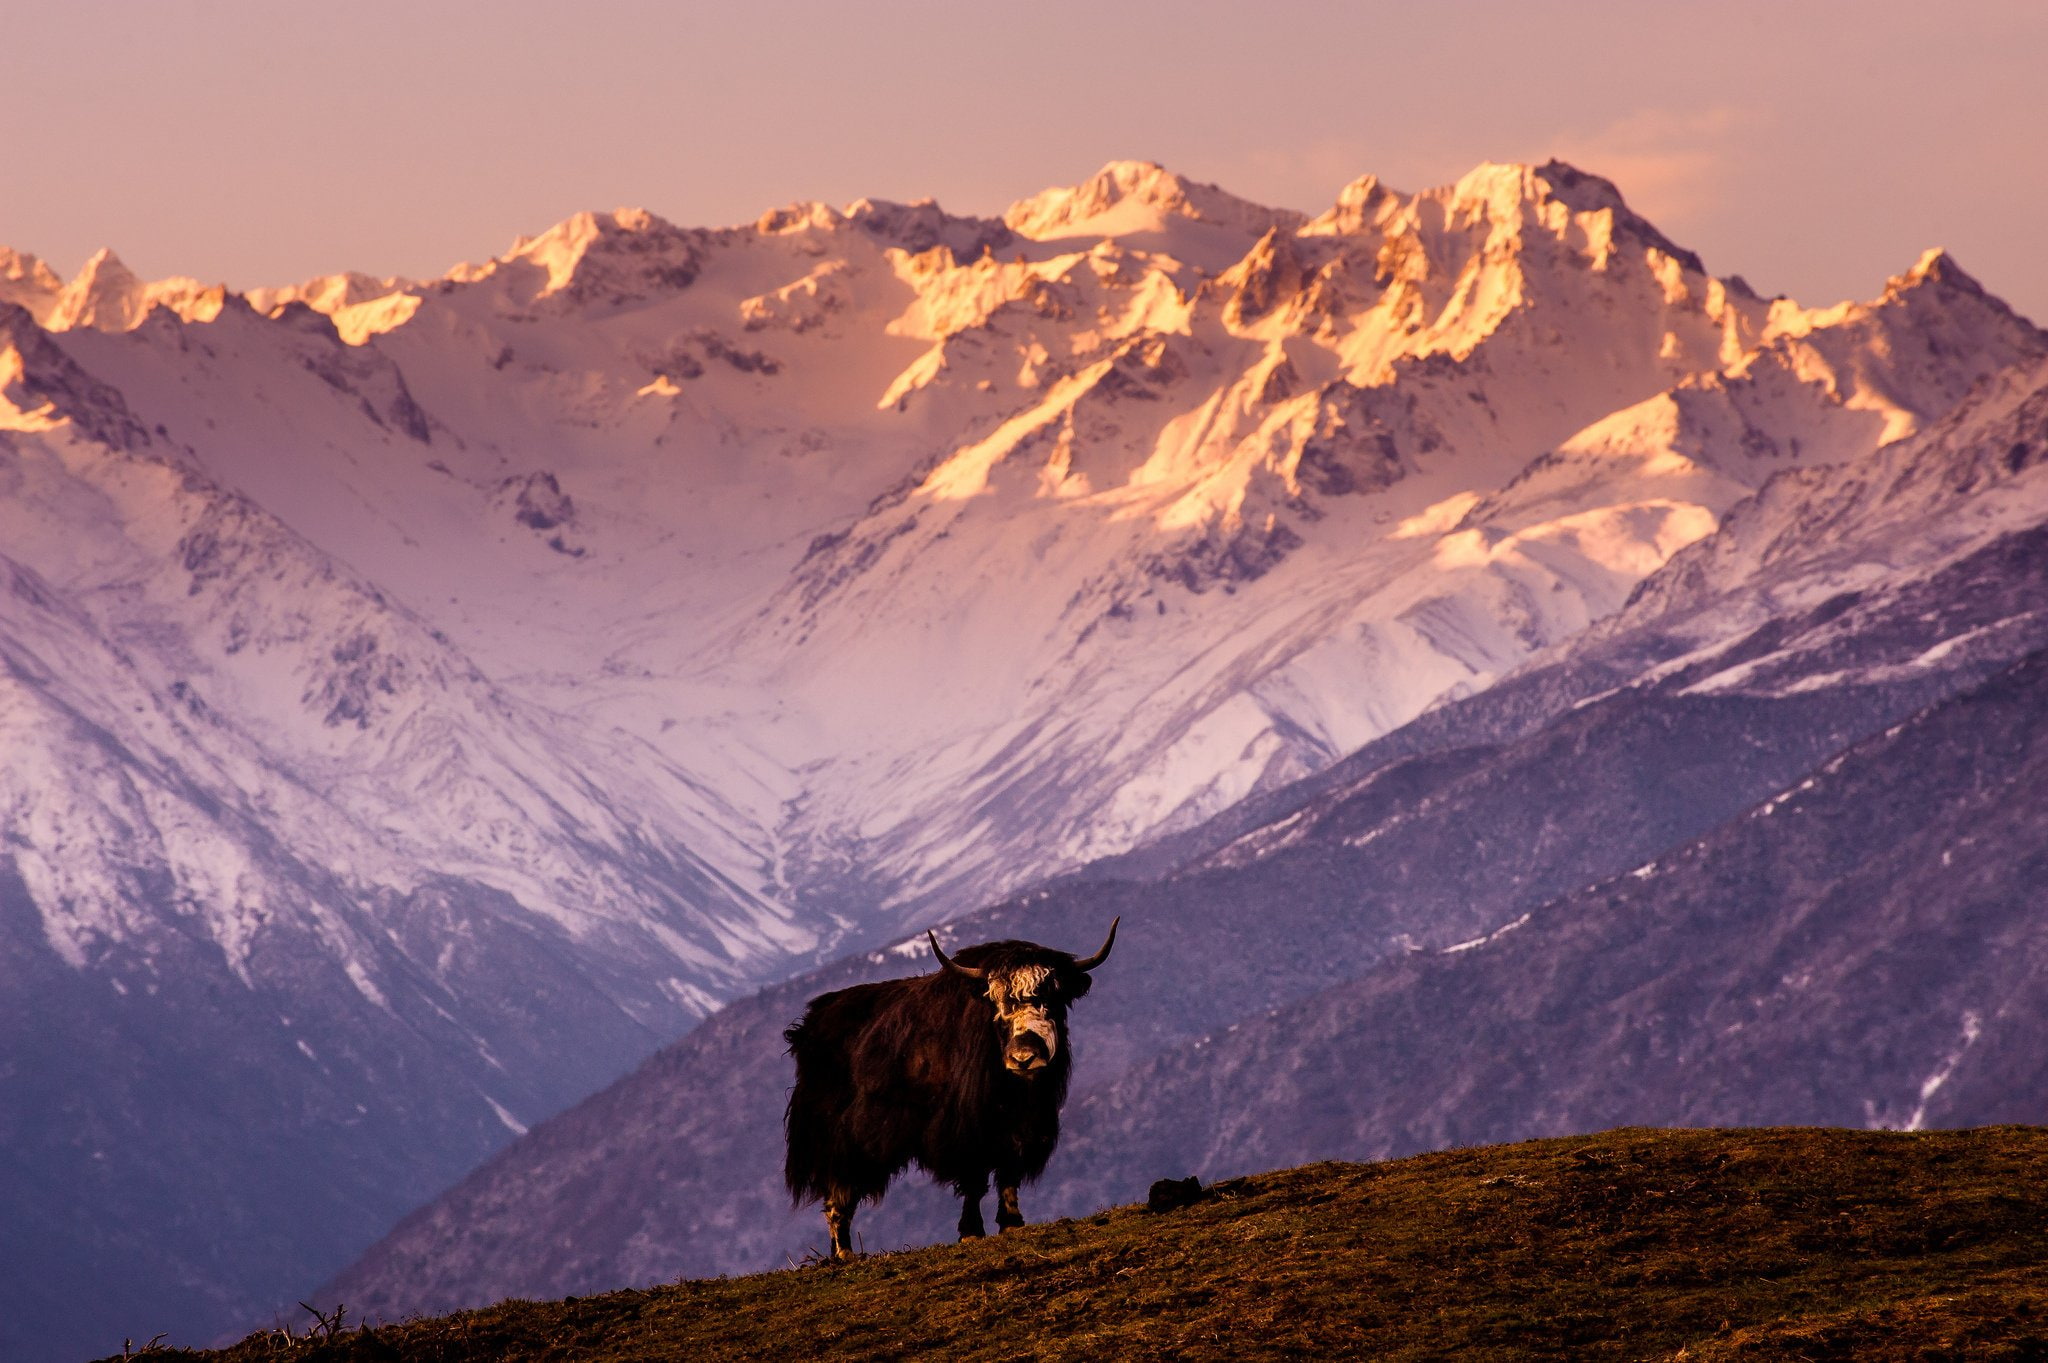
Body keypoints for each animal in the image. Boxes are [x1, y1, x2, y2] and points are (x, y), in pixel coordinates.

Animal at [782, 919, 1118, 1260]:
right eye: (997, 1002)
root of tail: (808, 1027)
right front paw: (971, 1232)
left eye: (1052, 997)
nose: (1023, 1058)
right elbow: (974, 1179)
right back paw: (845, 1254)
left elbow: (1008, 1169)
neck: (1014, 1092)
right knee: (838, 1195)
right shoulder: (966, 1128)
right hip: (835, 1141)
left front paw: (1012, 1223)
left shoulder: (1022, 1127)